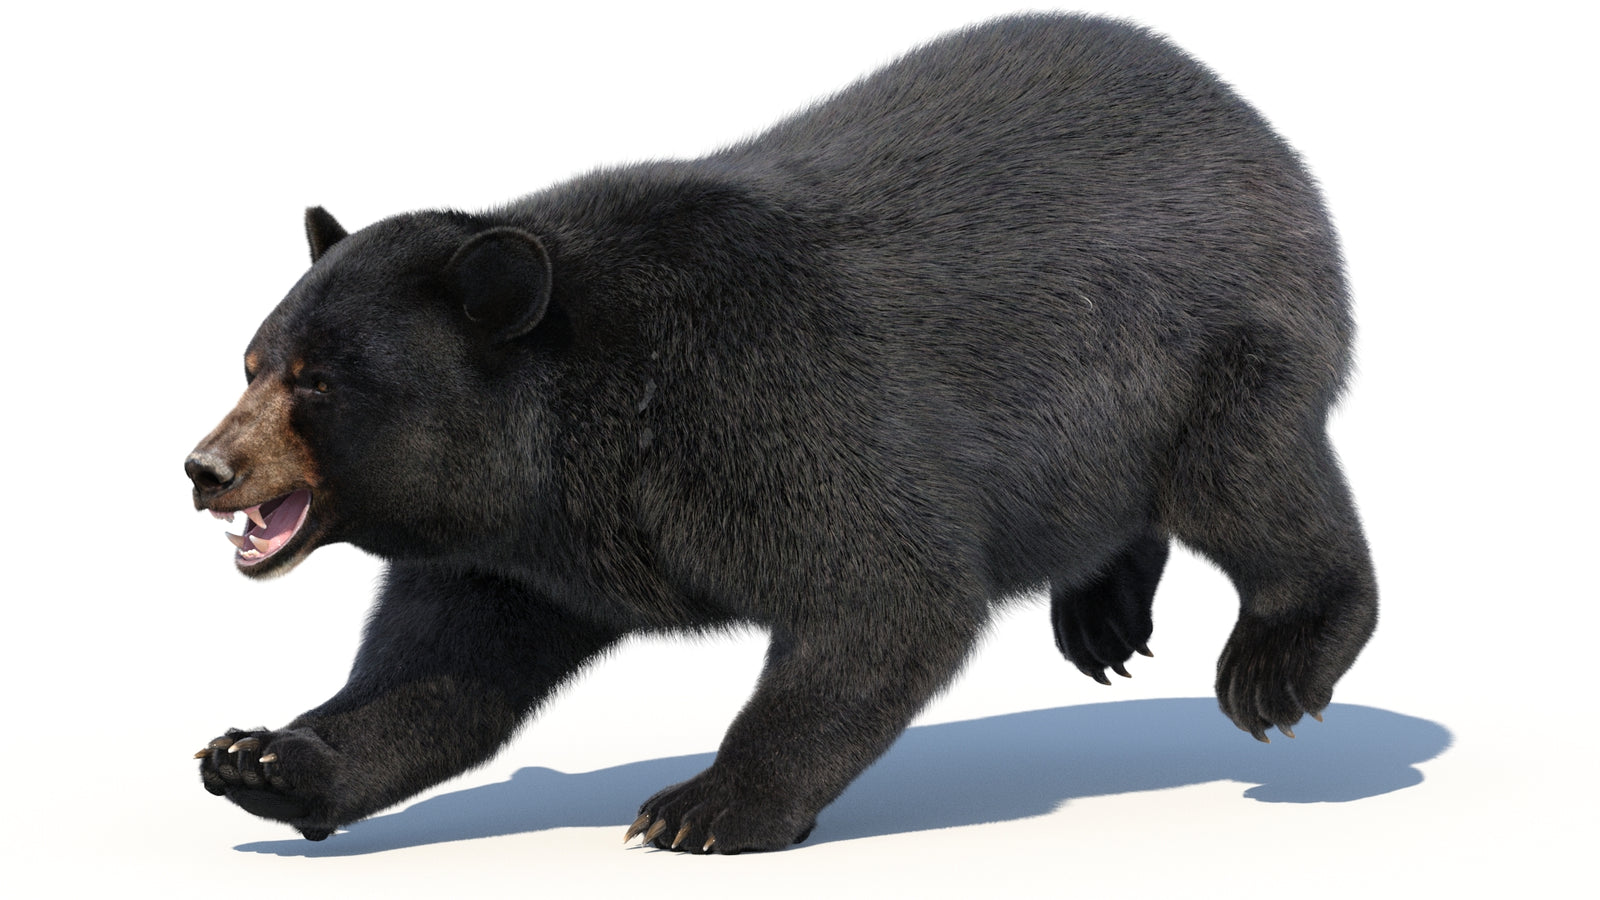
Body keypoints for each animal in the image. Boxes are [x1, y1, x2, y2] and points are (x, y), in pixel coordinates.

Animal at [186, 13, 1378, 853]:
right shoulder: (514, 550)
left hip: (1208, 347)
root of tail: (1249, 121)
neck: (575, 435)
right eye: (251, 362)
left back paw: (1277, 664)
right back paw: (1100, 617)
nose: (205, 468)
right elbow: (436, 674)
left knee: (1251, 485)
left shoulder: (767, 410)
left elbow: (888, 590)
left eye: (319, 380)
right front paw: (263, 758)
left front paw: (706, 806)